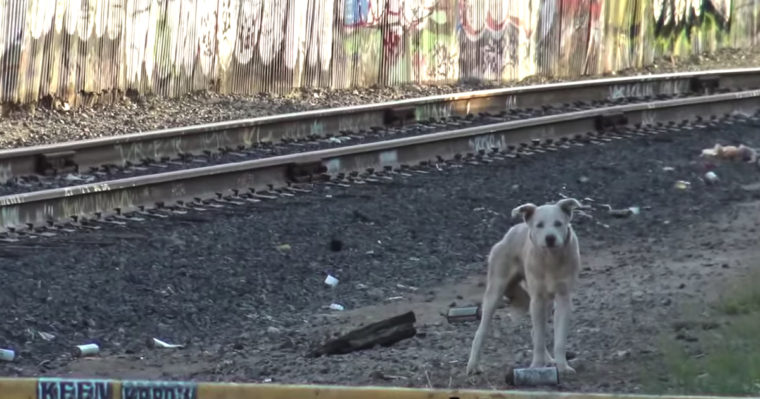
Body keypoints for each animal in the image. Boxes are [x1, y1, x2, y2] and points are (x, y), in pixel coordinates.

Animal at [464, 198, 580, 376]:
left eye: (558, 223)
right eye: (539, 225)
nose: (550, 238)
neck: (551, 259)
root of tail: (511, 231)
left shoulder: (563, 298)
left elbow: (558, 338)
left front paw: (562, 366)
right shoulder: (537, 300)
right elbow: (539, 338)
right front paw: (536, 366)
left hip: (547, 302)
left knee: (535, 331)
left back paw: (550, 360)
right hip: (495, 290)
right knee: (481, 331)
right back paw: (473, 365)